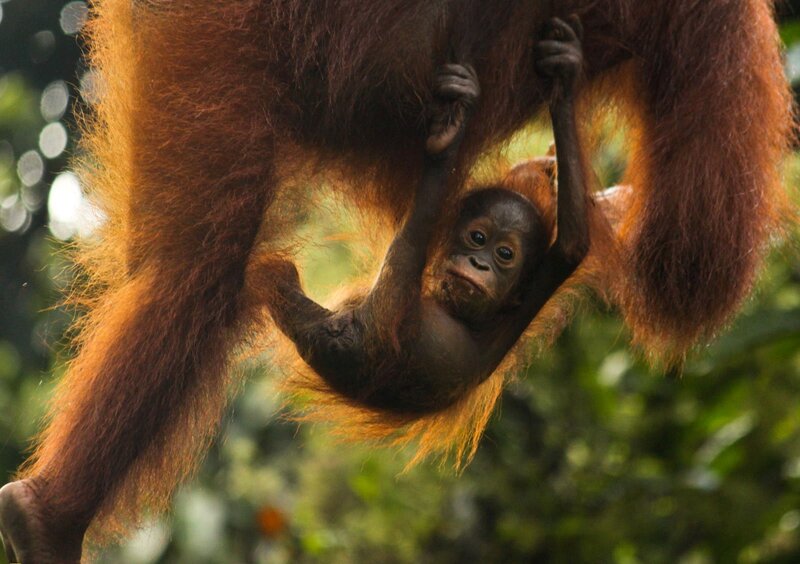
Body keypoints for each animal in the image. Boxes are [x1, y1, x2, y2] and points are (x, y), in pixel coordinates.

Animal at [0, 0, 792, 557]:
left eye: (500, 252)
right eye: (479, 242)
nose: (479, 262)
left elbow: (653, 256)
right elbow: (687, 261)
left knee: (196, 266)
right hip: (216, 36)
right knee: (197, 272)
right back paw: (47, 521)